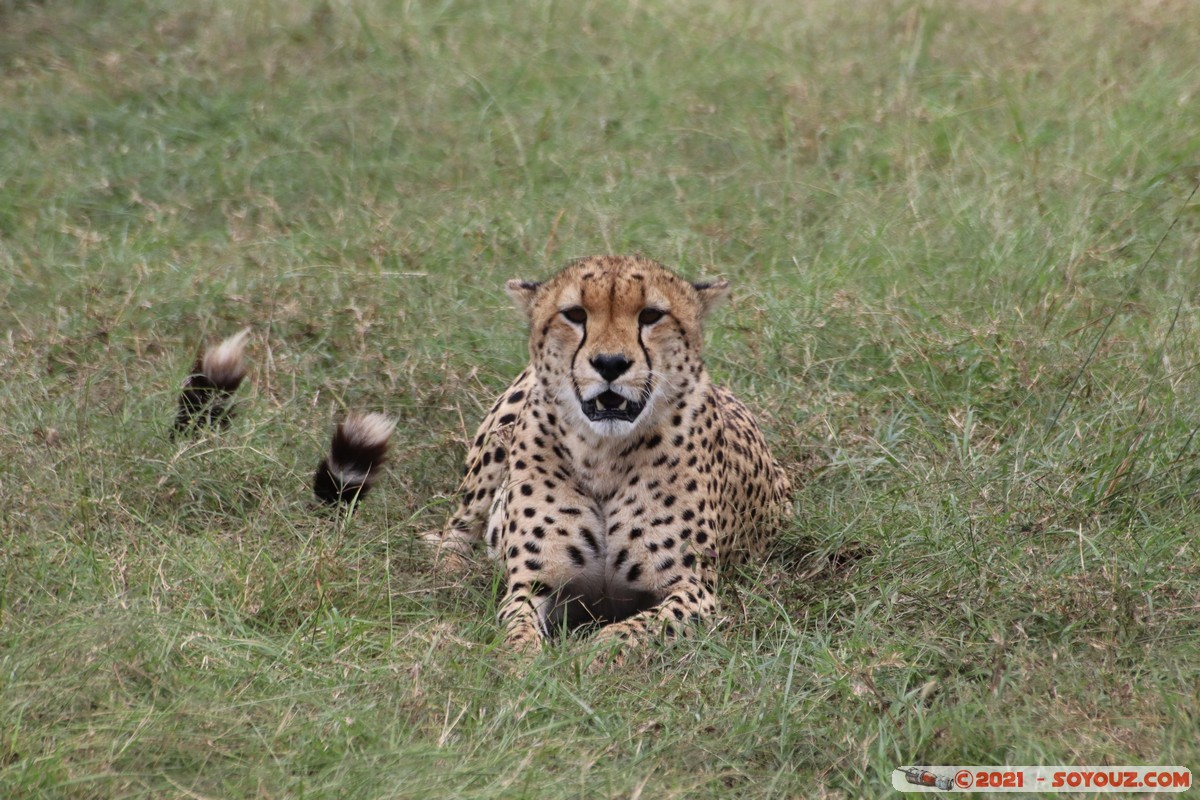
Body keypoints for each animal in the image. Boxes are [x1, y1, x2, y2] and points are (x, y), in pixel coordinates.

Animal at [427, 255, 792, 654]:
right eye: (574, 314)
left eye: (651, 315)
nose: (610, 363)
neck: (602, 454)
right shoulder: (531, 585)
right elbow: (518, 630)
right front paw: (525, 657)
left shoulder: (693, 590)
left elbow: (631, 632)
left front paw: (588, 656)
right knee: (457, 528)